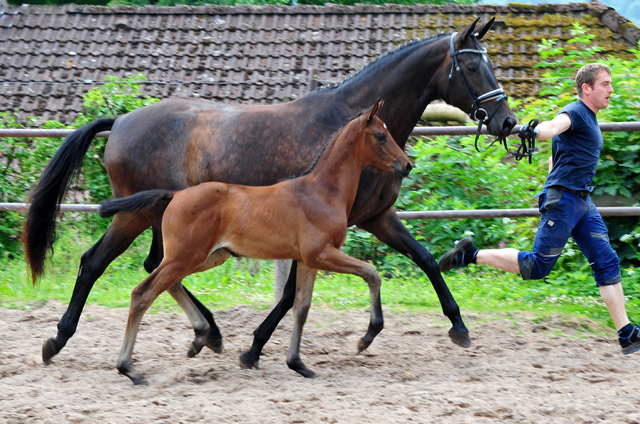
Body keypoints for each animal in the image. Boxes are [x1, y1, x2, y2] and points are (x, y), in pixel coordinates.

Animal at [98, 100, 412, 384]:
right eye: (380, 135)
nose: (406, 165)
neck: (322, 191)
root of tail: (175, 195)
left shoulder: (307, 260)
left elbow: (301, 308)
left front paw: (298, 364)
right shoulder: (322, 253)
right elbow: (371, 273)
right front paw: (366, 338)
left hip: (207, 257)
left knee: (167, 283)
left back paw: (200, 338)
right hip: (187, 256)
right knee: (143, 293)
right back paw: (130, 368)